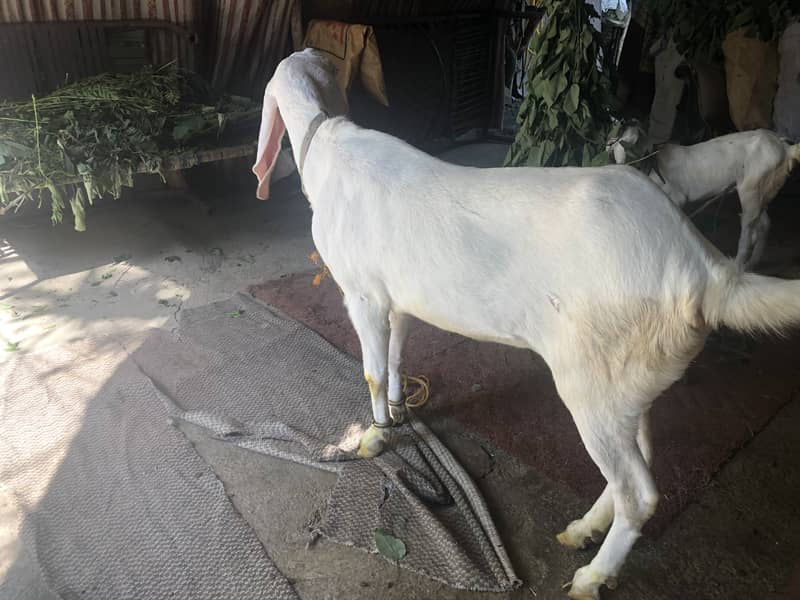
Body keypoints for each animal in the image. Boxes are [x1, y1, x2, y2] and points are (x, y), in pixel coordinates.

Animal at [612, 127, 800, 268]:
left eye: (630, 151)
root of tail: (784, 147)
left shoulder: (677, 197)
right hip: (761, 193)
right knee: (764, 224)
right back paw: (752, 263)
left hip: (749, 191)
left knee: (747, 233)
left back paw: (737, 265)